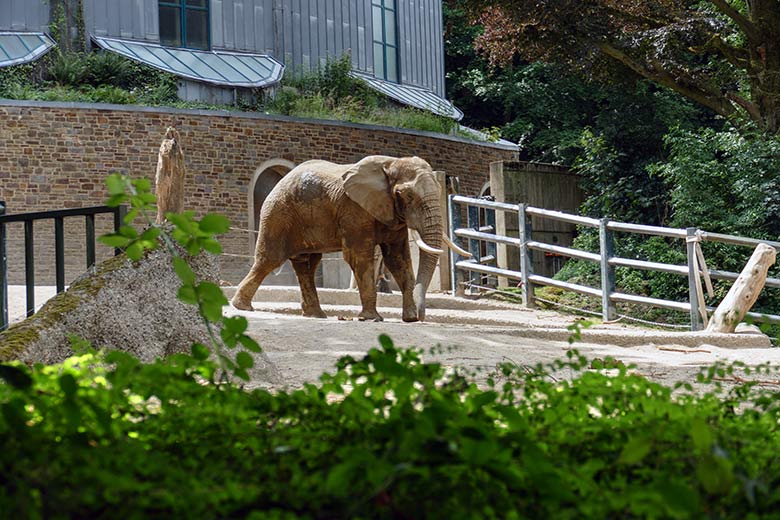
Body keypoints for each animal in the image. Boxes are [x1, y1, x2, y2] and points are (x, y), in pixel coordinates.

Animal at [232, 155, 470, 320]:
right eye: (407, 195)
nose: (421, 316)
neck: (390, 163)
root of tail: (279, 181)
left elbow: (398, 259)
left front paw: (409, 318)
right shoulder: (354, 210)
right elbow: (359, 257)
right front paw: (372, 319)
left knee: (307, 263)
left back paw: (316, 315)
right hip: (278, 214)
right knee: (269, 259)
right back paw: (241, 306)